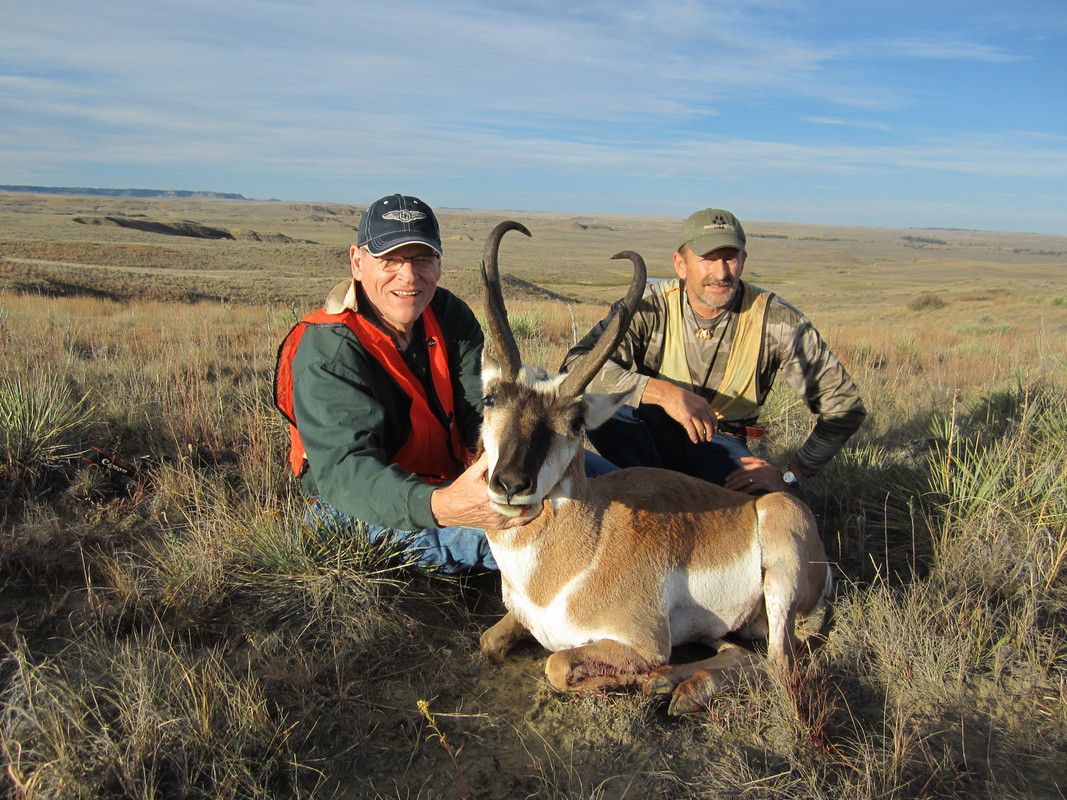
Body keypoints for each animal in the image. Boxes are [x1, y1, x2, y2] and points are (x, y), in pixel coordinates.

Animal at [477, 221, 832, 714]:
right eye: (491, 398)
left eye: (576, 421)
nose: (511, 484)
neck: (590, 536)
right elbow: (488, 641)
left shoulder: (643, 642)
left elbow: (557, 665)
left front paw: (638, 680)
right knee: (739, 651)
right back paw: (679, 686)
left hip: (781, 566)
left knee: (780, 666)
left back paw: (674, 686)